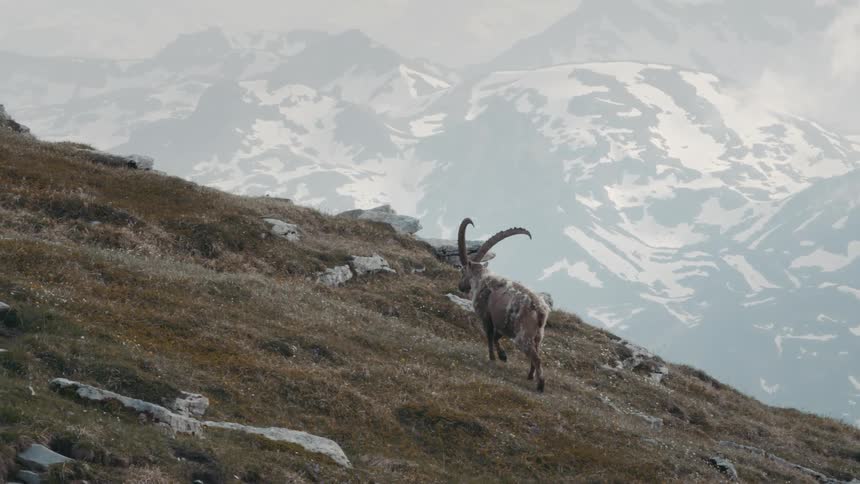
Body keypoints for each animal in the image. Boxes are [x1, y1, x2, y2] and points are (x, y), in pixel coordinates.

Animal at [457, 218, 551, 392]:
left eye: (463, 270)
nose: (460, 286)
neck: (482, 279)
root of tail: (541, 311)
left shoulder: (487, 316)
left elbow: (489, 336)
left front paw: (494, 357)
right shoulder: (502, 324)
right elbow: (496, 336)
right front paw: (503, 356)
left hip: (522, 336)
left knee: (537, 358)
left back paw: (540, 385)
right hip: (538, 336)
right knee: (536, 354)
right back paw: (530, 375)